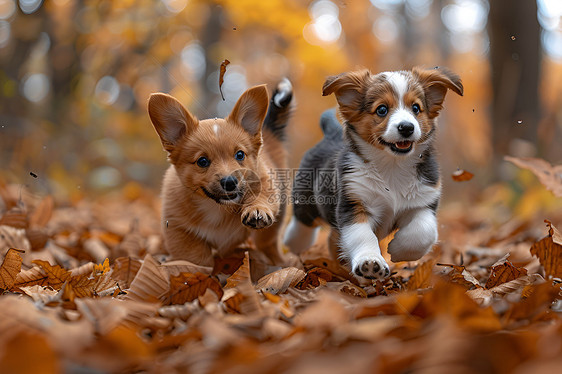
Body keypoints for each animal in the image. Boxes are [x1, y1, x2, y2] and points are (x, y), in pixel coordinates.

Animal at [150, 79, 294, 266]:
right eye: (202, 161)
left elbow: (260, 196)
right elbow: (196, 258)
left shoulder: (263, 180)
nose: (230, 182)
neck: (217, 207)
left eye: (239, 155)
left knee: (268, 243)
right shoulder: (178, 228)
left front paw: (257, 210)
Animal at [286, 67, 462, 280]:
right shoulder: (353, 205)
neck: (392, 166)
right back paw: (294, 243)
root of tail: (331, 133)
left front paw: (398, 250)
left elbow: (423, 231)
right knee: (302, 222)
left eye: (416, 108)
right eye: (382, 109)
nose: (407, 127)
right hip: (306, 200)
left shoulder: (423, 202)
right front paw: (370, 261)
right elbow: (362, 236)